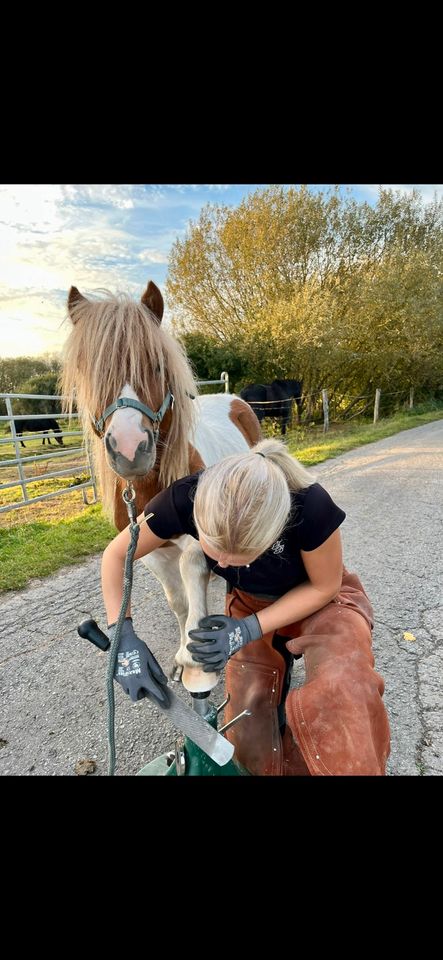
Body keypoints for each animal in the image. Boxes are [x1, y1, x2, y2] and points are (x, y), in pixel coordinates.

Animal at [63, 278, 262, 688]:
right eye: (91, 372)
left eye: (155, 365)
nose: (129, 448)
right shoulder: (150, 552)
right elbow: (178, 600)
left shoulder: (201, 538)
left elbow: (192, 569)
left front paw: (193, 652)